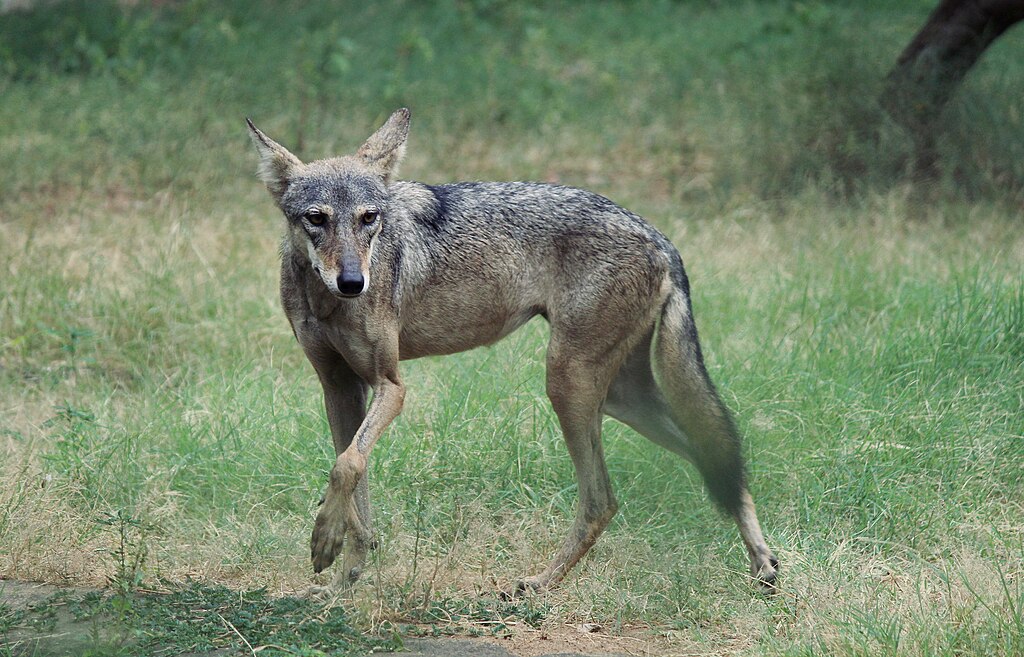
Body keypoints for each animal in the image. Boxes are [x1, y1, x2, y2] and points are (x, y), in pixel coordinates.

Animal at [246, 108, 778, 595]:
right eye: (317, 219)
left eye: (368, 219)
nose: (354, 282)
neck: (325, 302)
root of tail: (659, 236)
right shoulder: (339, 387)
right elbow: (354, 480)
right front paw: (344, 575)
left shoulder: (391, 387)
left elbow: (347, 466)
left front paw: (327, 543)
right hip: (618, 397)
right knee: (714, 458)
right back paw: (765, 565)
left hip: (568, 384)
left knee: (603, 500)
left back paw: (540, 584)